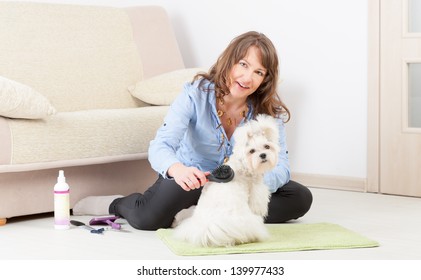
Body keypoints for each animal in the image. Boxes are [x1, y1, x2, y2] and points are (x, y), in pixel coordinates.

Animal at [172, 114, 280, 247]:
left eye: (267, 146)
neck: (241, 165)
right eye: (252, 151)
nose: (263, 155)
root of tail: (208, 226)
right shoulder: (256, 190)